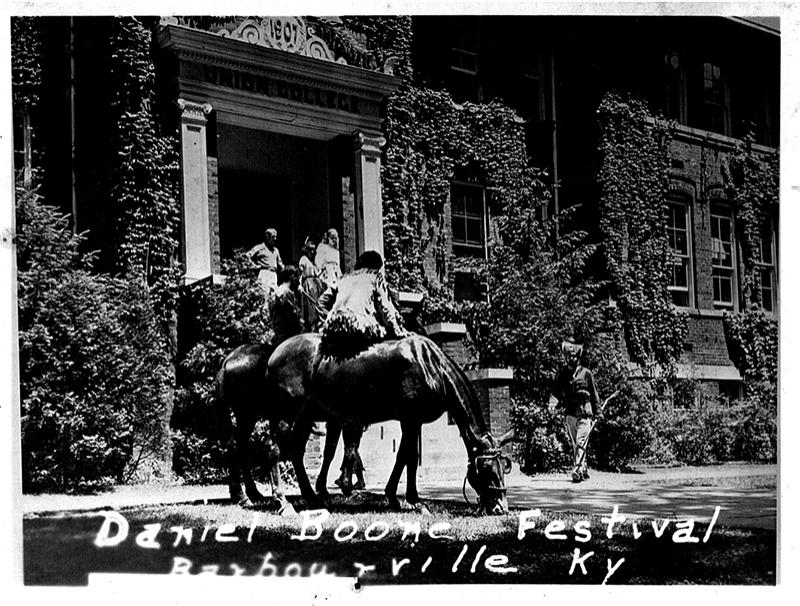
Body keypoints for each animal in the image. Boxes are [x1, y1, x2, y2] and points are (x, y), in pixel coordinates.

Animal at [268, 332, 512, 512]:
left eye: (503, 467)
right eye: (486, 468)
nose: (501, 507)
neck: (431, 367)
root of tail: (275, 354)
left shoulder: (413, 421)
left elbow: (406, 456)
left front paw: (397, 497)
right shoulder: (410, 419)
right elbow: (408, 457)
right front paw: (412, 499)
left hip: (305, 415)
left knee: (296, 453)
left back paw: (312, 497)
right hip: (288, 414)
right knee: (277, 450)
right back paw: (285, 501)